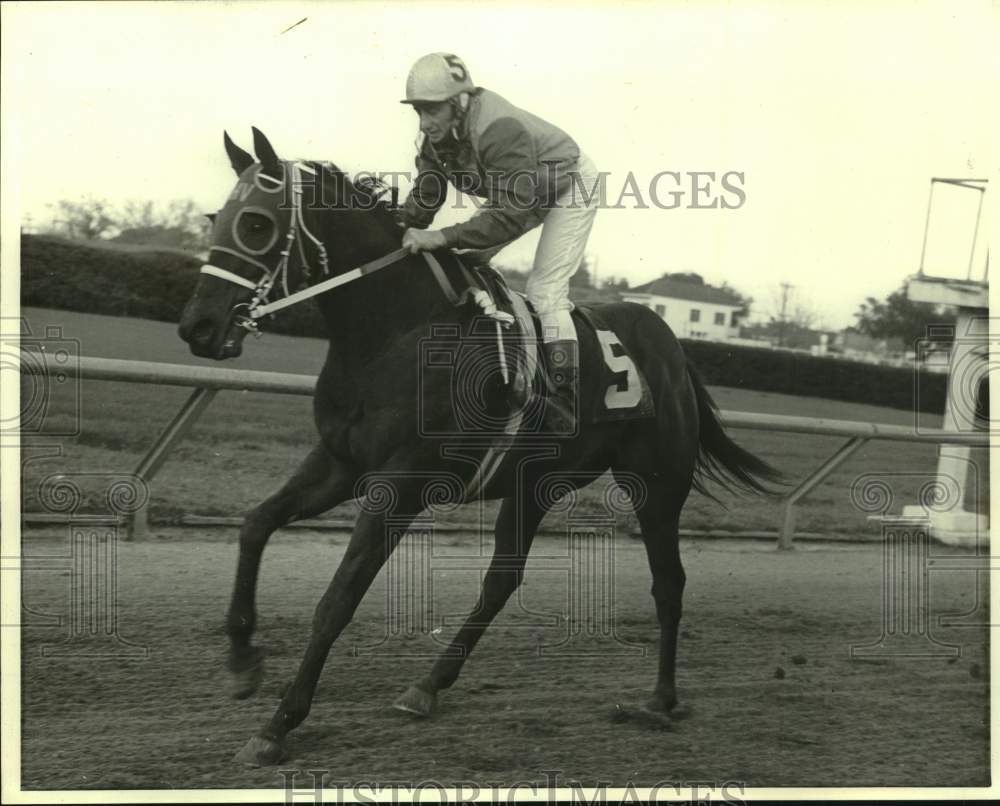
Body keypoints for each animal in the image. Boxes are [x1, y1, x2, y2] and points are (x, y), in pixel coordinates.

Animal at [178, 128, 780, 772]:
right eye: (216, 219)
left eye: (257, 224)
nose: (198, 327)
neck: (395, 333)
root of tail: (671, 343)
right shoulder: (340, 462)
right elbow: (255, 523)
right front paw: (242, 661)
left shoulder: (400, 485)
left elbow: (338, 599)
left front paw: (278, 724)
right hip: (535, 485)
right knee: (500, 582)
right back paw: (427, 686)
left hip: (657, 484)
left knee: (668, 583)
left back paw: (661, 699)